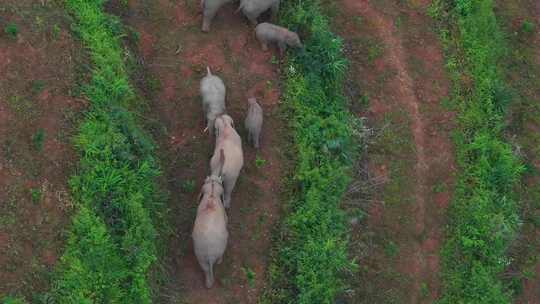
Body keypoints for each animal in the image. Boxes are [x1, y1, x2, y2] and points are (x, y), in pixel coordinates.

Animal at [192, 151, 228, 288]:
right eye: (222, 184)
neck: (212, 194)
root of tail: (210, 255)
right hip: (220, 247)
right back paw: (219, 262)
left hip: (199, 254)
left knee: (205, 268)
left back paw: (208, 284)